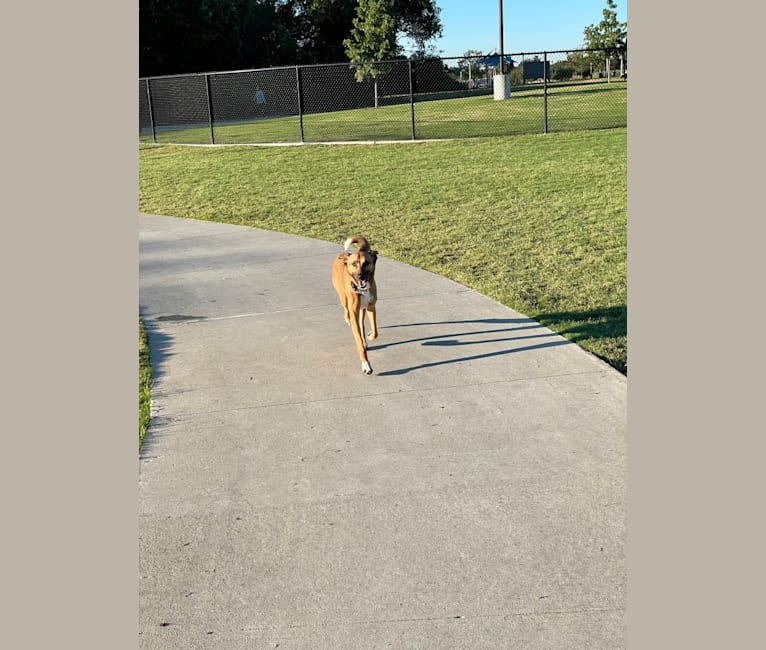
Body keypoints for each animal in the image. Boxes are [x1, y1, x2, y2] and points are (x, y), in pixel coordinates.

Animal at [332, 235, 380, 372]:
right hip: (343, 298)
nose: (360, 276)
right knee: (346, 310)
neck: (362, 289)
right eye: (354, 264)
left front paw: (370, 336)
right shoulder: (354, 312)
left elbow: (375, 331)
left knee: (362, 324)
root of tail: (344, 255)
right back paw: (347, 319)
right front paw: (366, 364)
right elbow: (358, 340)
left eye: (366, 263)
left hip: (362, 309)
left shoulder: (371, 307)